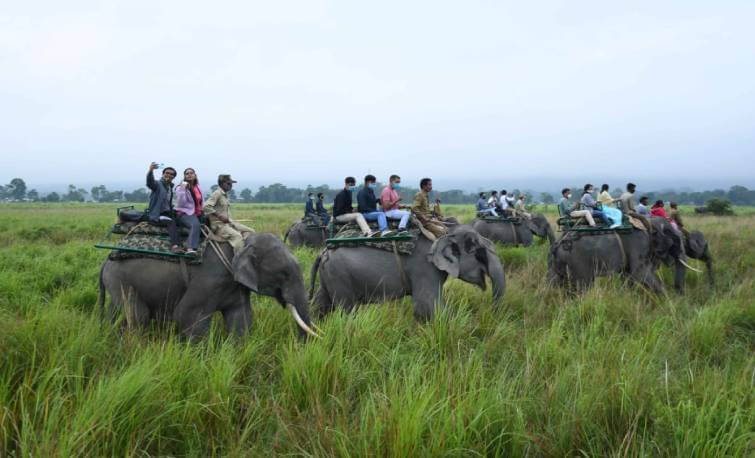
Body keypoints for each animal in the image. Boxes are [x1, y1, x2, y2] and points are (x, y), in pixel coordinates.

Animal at [96, 234, 316, 338]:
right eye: (284, 273)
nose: (302, 346)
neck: (242, 240)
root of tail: (105, 262)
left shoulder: (235, 285)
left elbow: (241, 318)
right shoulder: (210, 277)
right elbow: (188, 316)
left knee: (116, 314)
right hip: (122, 280)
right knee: (138, 317)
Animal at [310, 226, 504, 320]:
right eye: (479, 253)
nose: (490, 312)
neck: (443, 234)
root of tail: (324, 252)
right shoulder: (425, 268)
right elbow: (427, 306)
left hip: (329, 276)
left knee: (321, 305)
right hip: (340, 276)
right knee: (346, 310)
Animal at [544, 217, 696, 294]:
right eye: (675, 240)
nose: (680, 294)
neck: (648, 221)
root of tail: (558, 243)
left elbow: (628, 276)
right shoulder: (638, 243)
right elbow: (640, 273)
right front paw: (667, 300)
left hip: (557, 263)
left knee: (552, 283)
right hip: (578, 261)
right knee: (583, 287)